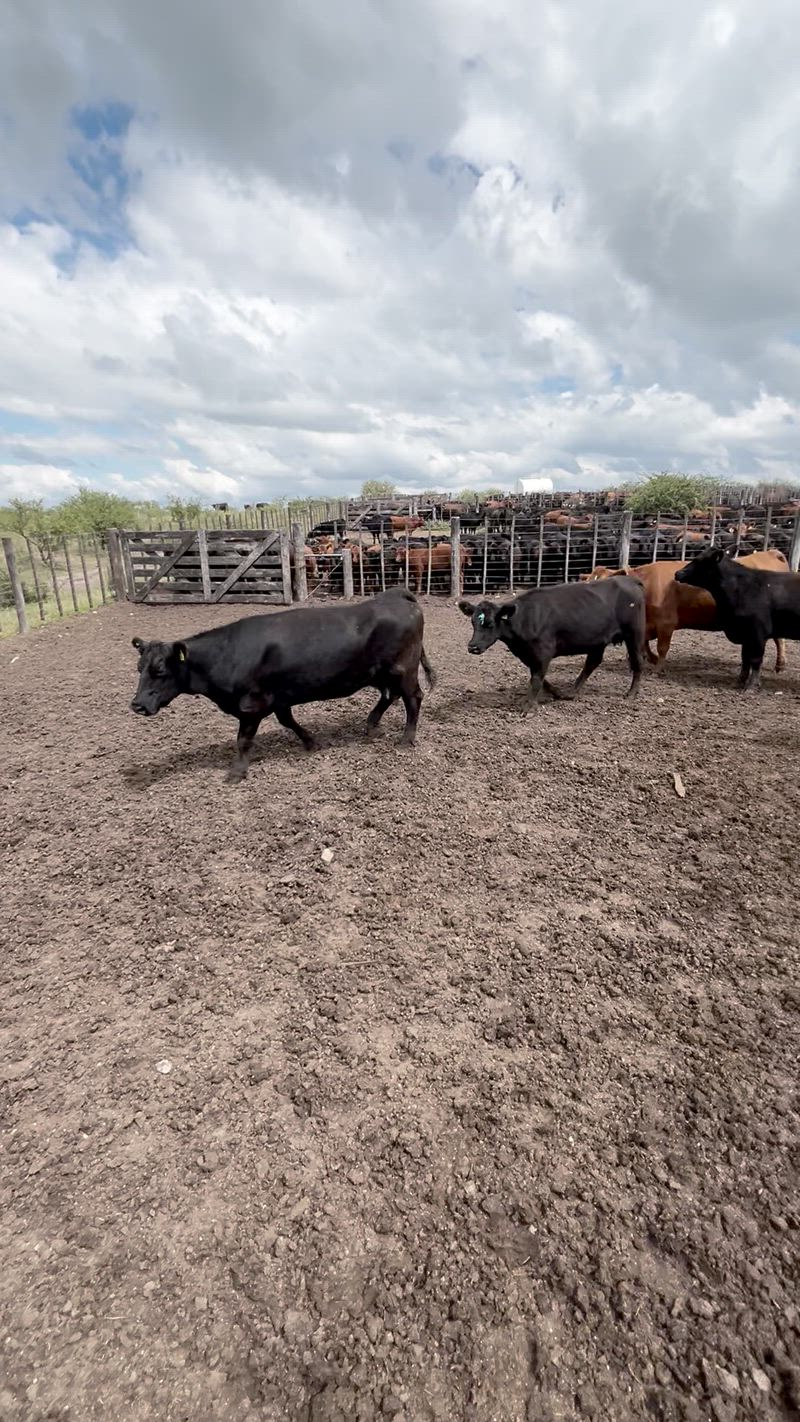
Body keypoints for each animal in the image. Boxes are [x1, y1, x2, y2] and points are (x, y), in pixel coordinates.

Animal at [130, 590, 436, 781]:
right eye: (139, 668)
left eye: (159, 671)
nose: (137, 705)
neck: (227, 654)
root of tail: (395, 595)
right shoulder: (279, 697)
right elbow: (288, 721)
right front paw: (311, 742)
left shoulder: (251, 704)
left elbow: (243, 740)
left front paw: (237, 773)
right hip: (381, 673)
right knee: (389, 695)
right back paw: (371, 725)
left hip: (403, 670)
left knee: (413, 698)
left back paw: (406, 739)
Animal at [458, 577, 646, 710]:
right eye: (473, 622)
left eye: (490, 624)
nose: (472, 646)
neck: (525, 618)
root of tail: (629, 579)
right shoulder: (527, 654)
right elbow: (539, 677)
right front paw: (556, 693)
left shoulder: (544, 652)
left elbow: (537, 678)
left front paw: (530, 706)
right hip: (598, 640)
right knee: (592, 663)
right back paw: (571, 692)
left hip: (634, 634)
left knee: (637, 662)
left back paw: (631, 693)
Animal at [581, 551, 789, 671]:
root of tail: (771, 553)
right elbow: (644, 644)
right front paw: (650, 659)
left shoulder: (666, 623)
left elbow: (662, 647)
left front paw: (658, 668)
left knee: (779, 640)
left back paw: (780, 664)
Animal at [675, 548, 800, 690]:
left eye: (700, 560)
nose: (678, 573)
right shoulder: (745, 633)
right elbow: (745, 659)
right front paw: (739, 681)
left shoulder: (757, 632)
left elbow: (755, 659)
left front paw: (752, 685)